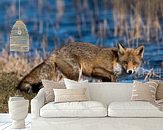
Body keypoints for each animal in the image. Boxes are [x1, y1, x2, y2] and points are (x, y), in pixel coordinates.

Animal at [16, 42, 144, 92]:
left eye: (135, 63)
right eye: (125, 62)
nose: (130, 71)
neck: (115, 60)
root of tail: (57, 50)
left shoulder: (103, 78)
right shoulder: (95, 70)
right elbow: (111, 75)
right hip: (76, 73)